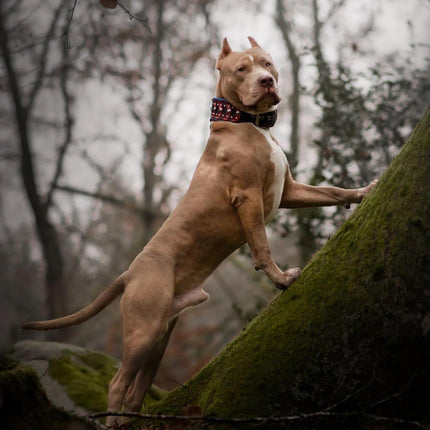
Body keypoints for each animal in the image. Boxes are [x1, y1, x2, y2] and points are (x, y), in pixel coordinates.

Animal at [22, 37, 376, 426]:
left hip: (160, 337)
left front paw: (364, 192)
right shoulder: (248, 199)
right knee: (117, 384)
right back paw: (113, 420)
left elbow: (332, 192)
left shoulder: (289, 191)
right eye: (242, 69)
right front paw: (281, 279)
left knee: (136, 390)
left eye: (267, 63)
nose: (267, 81)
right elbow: (262, 246)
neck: (247, 122)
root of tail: (130, 273)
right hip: (143, 332)